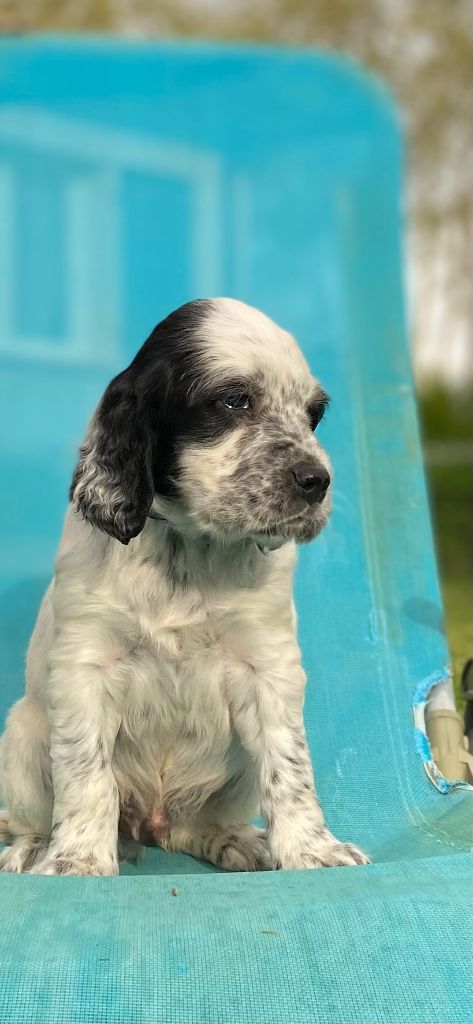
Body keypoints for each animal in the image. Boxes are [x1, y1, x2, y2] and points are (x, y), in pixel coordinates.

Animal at [0, 298, 369, 875]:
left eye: (313, 416)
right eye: (235, 400)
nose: (317, 481)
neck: (190, 545)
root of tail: (150, 826)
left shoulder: (269, 666)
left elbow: (290, 767)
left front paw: (314, 850)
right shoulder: (85, 665)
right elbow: (86, 775)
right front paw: (78, 860)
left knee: (195, 827)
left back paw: (237, 841)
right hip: (23, 738)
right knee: (34, 813)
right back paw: (36, 847)